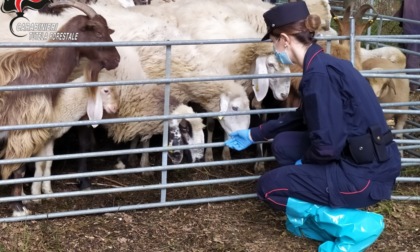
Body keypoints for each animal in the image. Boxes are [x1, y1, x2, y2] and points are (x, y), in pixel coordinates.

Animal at [0, 0, 121, 217]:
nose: (116, 60)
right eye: (98, 33)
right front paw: (19, 208)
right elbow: (19, 168)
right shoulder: (23, 130)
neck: (42, 70)